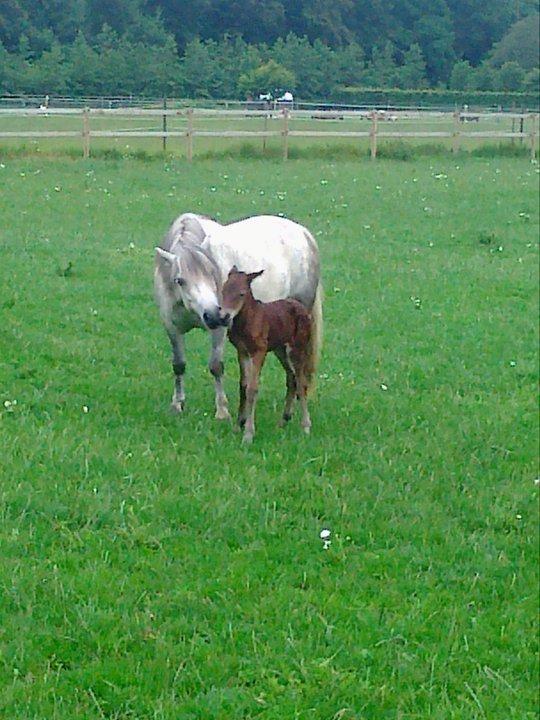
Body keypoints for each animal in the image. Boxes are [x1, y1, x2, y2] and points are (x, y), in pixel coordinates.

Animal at [153, 211, 320, 420]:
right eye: (179, 280)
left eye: (212, 274)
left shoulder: (219, 330)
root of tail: (304, 233)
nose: (212, 315)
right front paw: (177, 404)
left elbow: (216, 366)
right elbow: (179, 365)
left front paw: (222, 410)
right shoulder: (172, 328)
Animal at [220, 266, 314, 442]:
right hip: (280, 349)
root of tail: (303, 308)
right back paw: (283, 421)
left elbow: (252, 388)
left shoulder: (259, 351)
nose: (223, 317)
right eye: (223, 290)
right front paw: (238, 425)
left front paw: (248, 433)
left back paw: (305, 425)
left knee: (301, 381)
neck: (247, 321)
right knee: (291, 377)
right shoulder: (242, 351)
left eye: (241, 293)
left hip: (297, 348)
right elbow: (243, 386)